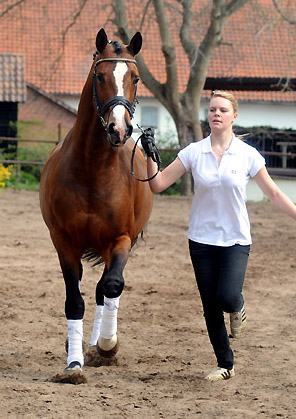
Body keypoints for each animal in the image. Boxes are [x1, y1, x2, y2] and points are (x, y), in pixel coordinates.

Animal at [39, 29, 153, 378]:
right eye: (99, 76)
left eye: (135, 78)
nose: (119, 129)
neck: (92, 170)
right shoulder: (64, 242)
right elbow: (74, 301)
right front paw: (74, 363)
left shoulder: (120, 239)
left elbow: (112, 286)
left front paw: (106, 345)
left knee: (105, 288)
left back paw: (98, 344)